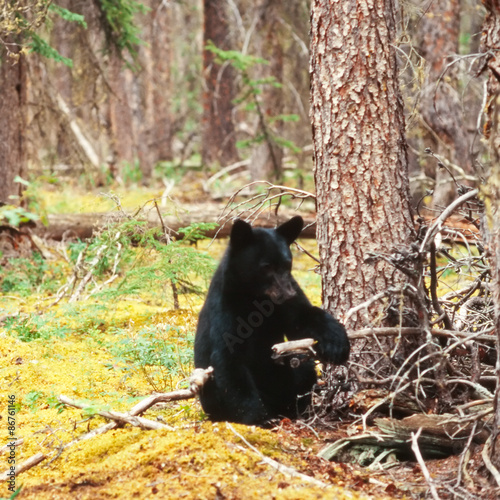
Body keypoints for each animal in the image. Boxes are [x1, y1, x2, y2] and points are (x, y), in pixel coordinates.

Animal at [193, 217, 350, 424]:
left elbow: (302, 318)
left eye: (287, 263)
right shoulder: (226, 308)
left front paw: (337, 343)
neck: (256, 298)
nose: (289, 293)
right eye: (266, 266)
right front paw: (258, 420)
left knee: (303, 367)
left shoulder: (285, 300)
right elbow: (228, 360)